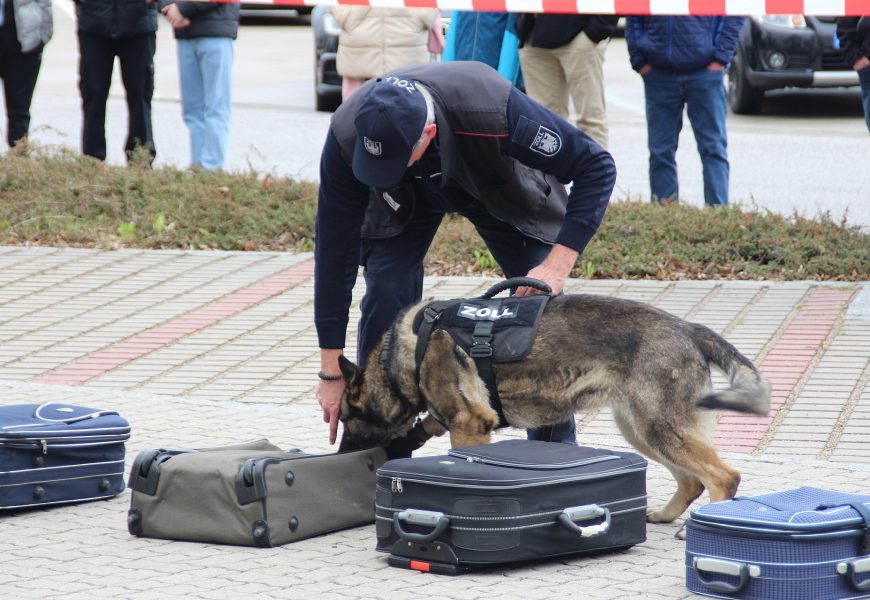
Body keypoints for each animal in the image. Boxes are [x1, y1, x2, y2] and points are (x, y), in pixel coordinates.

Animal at [338, 292, 772, 524]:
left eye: (344, 419)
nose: (339, 457)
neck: (400, 359)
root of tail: (688, 327)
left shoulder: (470, 425)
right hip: (641, 430)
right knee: (693, 481)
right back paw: (666, 517)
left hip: (659, 429)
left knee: (724, 476)